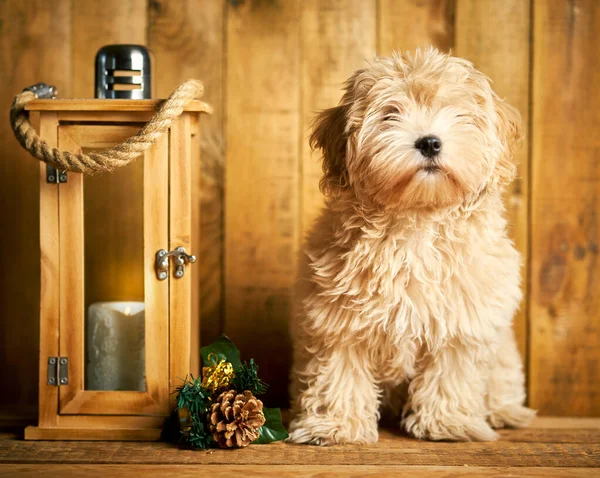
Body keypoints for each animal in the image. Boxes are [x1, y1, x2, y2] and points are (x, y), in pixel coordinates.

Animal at [288, 48, 536, 444]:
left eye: (457, 113)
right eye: (391, 113)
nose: (430, 142)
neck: (417, 220)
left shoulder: (464, 319)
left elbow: (452, 370)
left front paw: (448, 423)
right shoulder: (336, 317)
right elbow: (339, 369)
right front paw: (336, 425)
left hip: (504, 354)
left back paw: (504, 412)